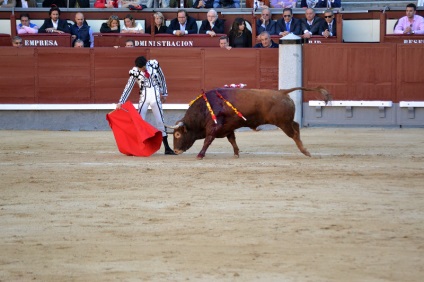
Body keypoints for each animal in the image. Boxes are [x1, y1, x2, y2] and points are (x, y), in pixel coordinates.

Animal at [166, 86, 332, 159]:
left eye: (178, 134)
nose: (176, 151)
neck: (205, 108)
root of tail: (282, 92)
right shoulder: (227, 128)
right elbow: (232, 140)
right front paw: (236, 153)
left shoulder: (214, 127)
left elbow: (207, 141)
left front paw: (200, 155)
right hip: (286, 121)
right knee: (296, 126)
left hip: (283, 123)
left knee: (294, 134)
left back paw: (306, 152)